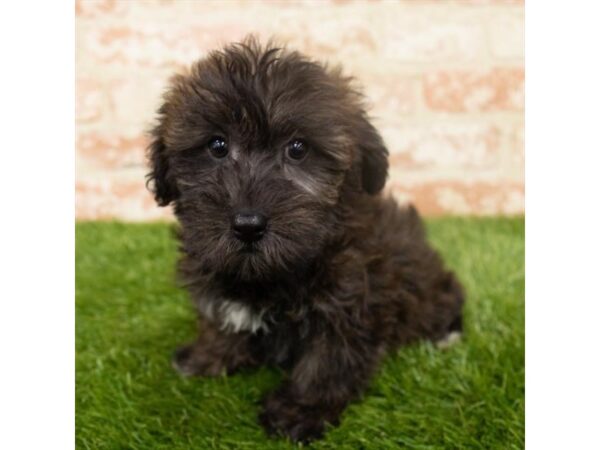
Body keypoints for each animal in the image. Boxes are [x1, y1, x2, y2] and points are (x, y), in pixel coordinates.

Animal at [145, 36, 464, 442]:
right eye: (217, 146)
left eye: (298, 149)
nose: (248, 224)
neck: (269, 275)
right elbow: (220, 318)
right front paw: (209, 357)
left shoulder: (350, 299)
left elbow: (327, 359)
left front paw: (300, 410)